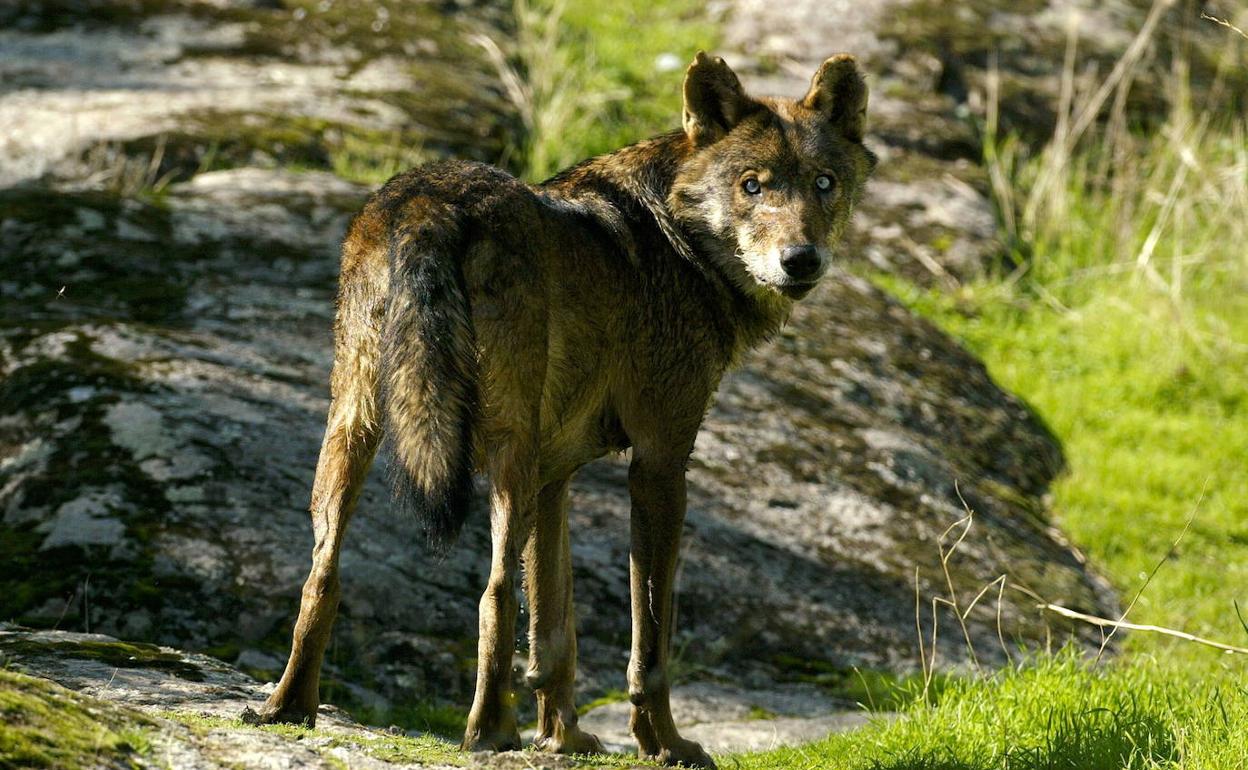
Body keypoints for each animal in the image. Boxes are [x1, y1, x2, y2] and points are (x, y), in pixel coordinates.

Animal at [249, 52, 875, 769]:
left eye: (823, 183)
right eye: (752, 186)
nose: (801, 260)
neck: (678, 240)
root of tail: (429, 200)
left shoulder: (556, 477)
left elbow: (554, 633)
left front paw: (563, 738)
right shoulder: (659, 465)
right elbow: (649, 641)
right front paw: (663, 743)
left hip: (356, 428)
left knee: (321, 575)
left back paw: (288, 708)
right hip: (505, 452)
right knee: (494, 590)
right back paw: (488, 733)